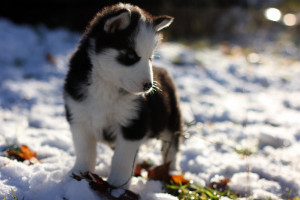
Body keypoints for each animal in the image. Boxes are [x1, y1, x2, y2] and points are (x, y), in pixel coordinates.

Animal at [63, 2, 183, 189]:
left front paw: (117, 185)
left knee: (171, 149)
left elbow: (122, 159)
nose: (148, 86)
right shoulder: (78, 118)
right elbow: (85, 152)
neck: (106, 86)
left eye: (150, 57)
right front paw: (79, 174)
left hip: (171, 123)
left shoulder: (133, 124)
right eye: (131, 55)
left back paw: (173, 172)